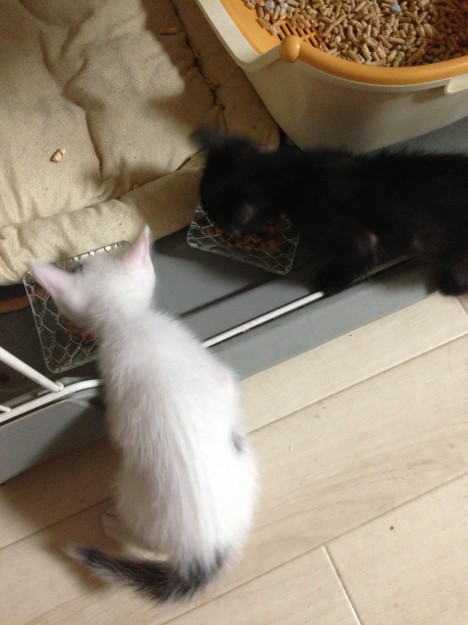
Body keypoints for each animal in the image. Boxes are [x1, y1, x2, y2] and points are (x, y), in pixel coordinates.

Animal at [30, 226, 256, 602]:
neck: (128, 322)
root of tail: (202, 551)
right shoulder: (217, 375)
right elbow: (227, 386)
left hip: (131, 495)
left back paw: (112, 524)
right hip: (244, 463)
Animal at [192, 128, 468, 295]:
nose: (210, 219)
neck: (296, 175)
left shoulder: (345, 230)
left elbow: (360, 255)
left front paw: (327, 282)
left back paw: (452, 283)